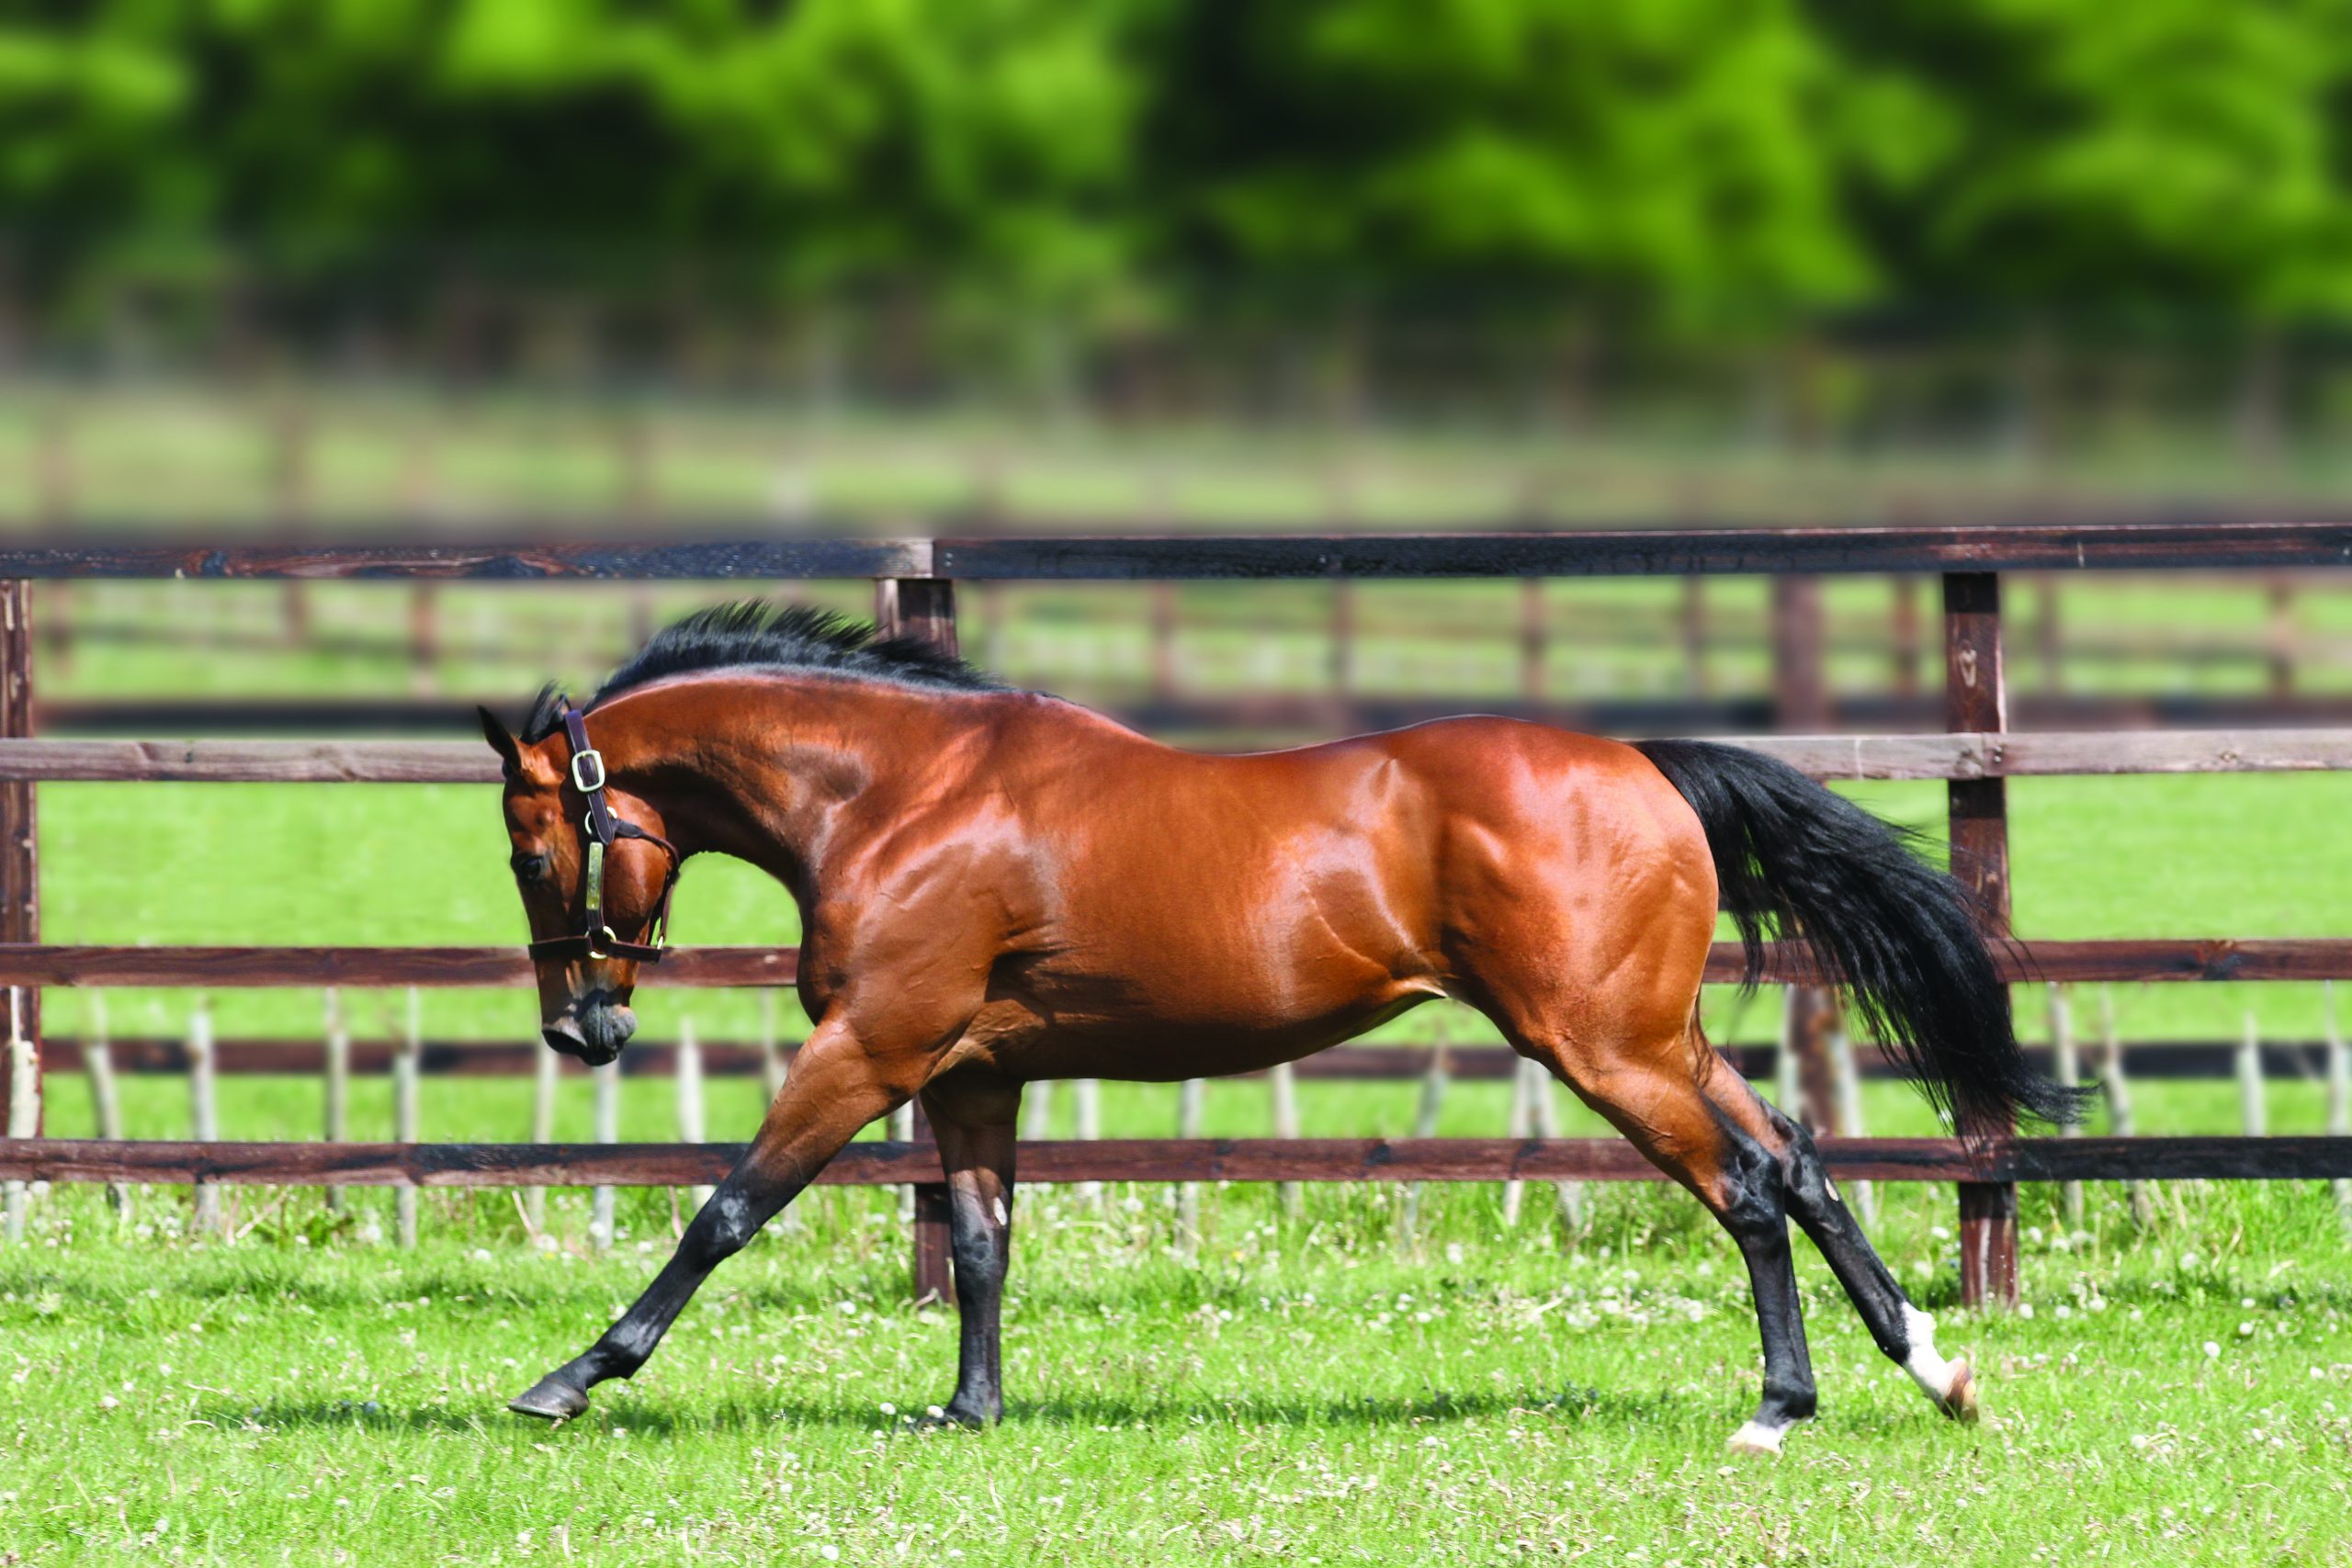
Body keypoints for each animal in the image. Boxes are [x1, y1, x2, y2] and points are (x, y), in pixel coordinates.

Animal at [481, 606, 2079, 1457]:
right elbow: (984, 1243)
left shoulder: (871, 1050)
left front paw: (567, 1378)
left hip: (1602, 1046)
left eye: (530, 846)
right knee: (1797, 1157)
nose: (582, 1025)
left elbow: (726, 1209)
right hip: (1656, 1033)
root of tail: (1641, 765)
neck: (903, 793)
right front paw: (968, 1408)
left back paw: (1776, 1407)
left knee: (1744, 1187)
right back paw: (1932, 1365)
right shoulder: (974, 1071)